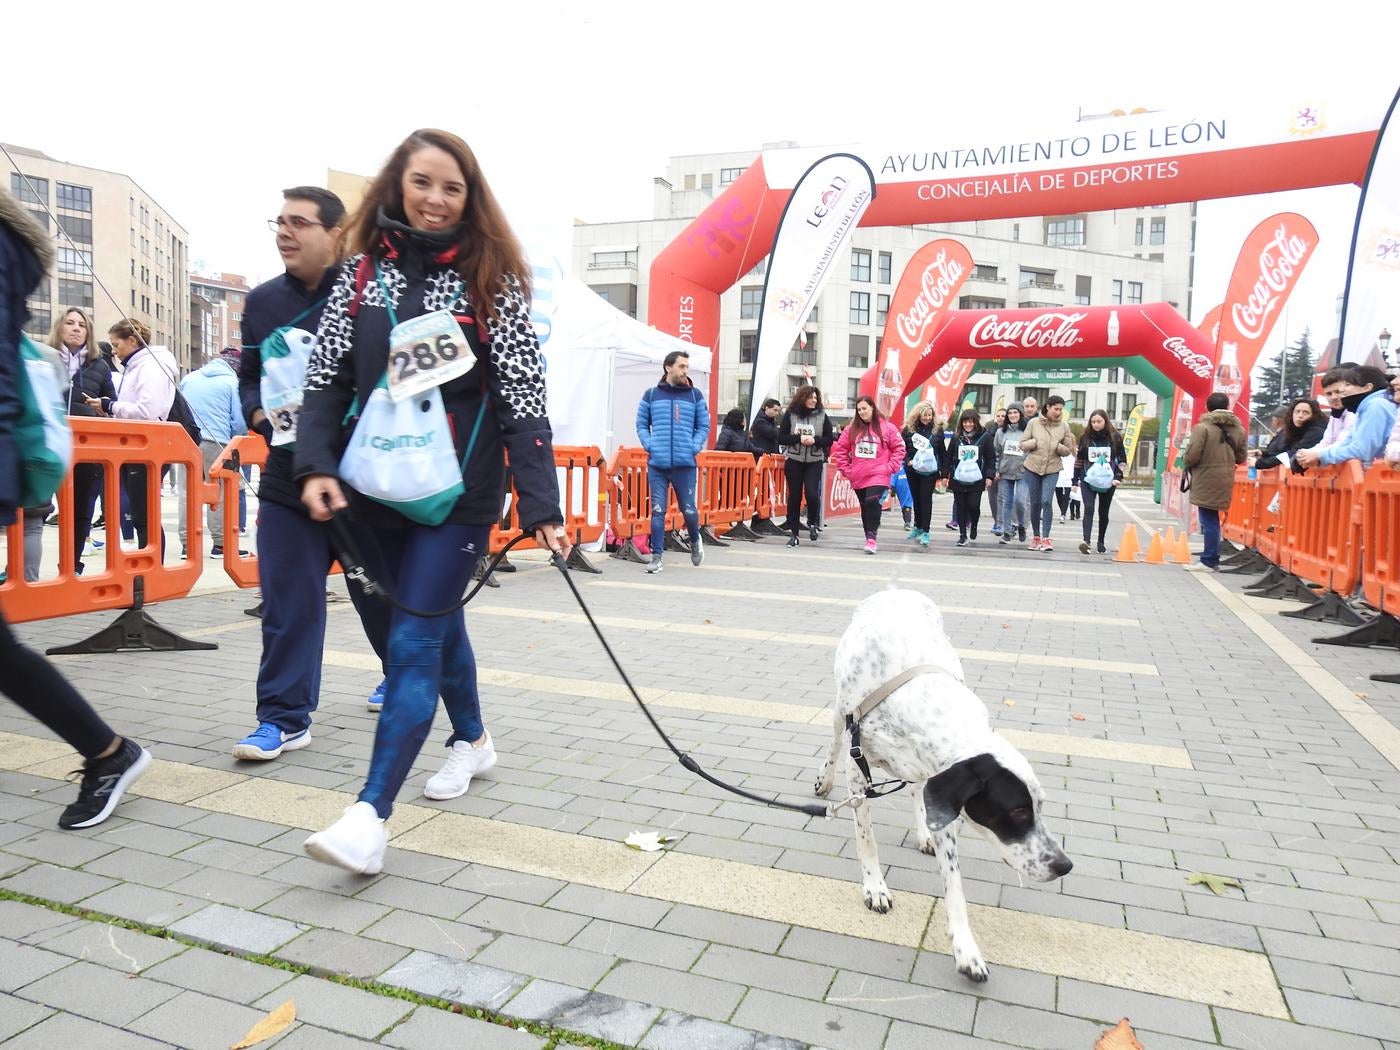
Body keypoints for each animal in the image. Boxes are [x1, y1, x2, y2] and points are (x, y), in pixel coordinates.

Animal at [812, 588, 1069, 985]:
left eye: (1040, 807)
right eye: (1017, 810)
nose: (1064, 865)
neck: (923, 706)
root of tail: (894, 589)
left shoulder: (944, 798)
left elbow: (954, 883)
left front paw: (966, 949)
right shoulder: (858, 770)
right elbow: (866, 839)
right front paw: (875, 887)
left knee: (917, 791)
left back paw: (923, 832)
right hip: (842, 713)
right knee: (835, 741)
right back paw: (824, 780)